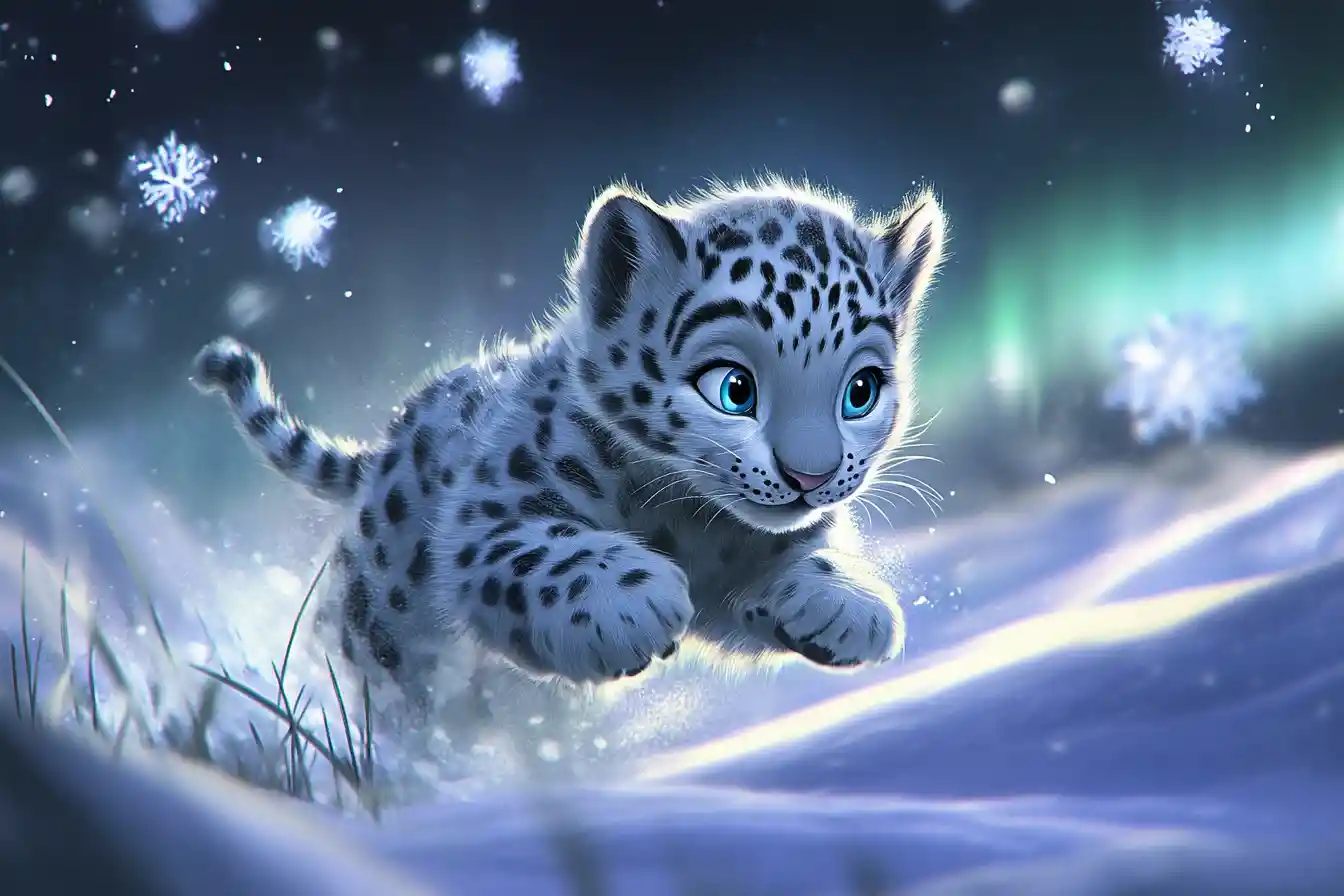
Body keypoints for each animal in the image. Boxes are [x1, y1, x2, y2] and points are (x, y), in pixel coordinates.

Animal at [190, 176, 947, 694]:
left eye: (860, 392)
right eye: (735, 389)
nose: (810, 476)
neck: (691, 522)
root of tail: (386, 445)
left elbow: (801, 553)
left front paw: (844, 602)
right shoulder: (489, 514)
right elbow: (543, 547)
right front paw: (629, 600)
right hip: (377, 622)